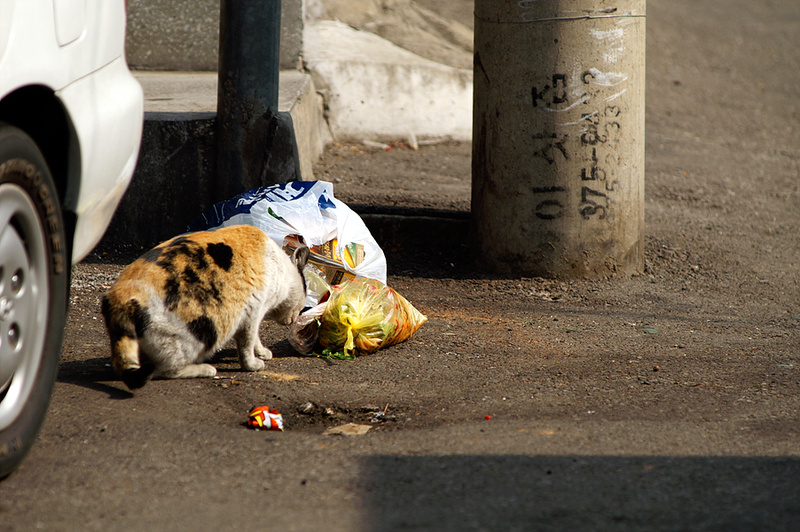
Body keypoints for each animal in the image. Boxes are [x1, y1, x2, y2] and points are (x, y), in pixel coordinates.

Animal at [99, 224, 310, 390]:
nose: (295, 318)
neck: (281, 270)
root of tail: (121, 296)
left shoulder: (250, 313)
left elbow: (254, 338)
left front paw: (262, 352)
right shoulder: (253, 311)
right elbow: (248, 342)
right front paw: (252, 364)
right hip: (197, 333)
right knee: (164, 370)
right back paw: (204, 368)